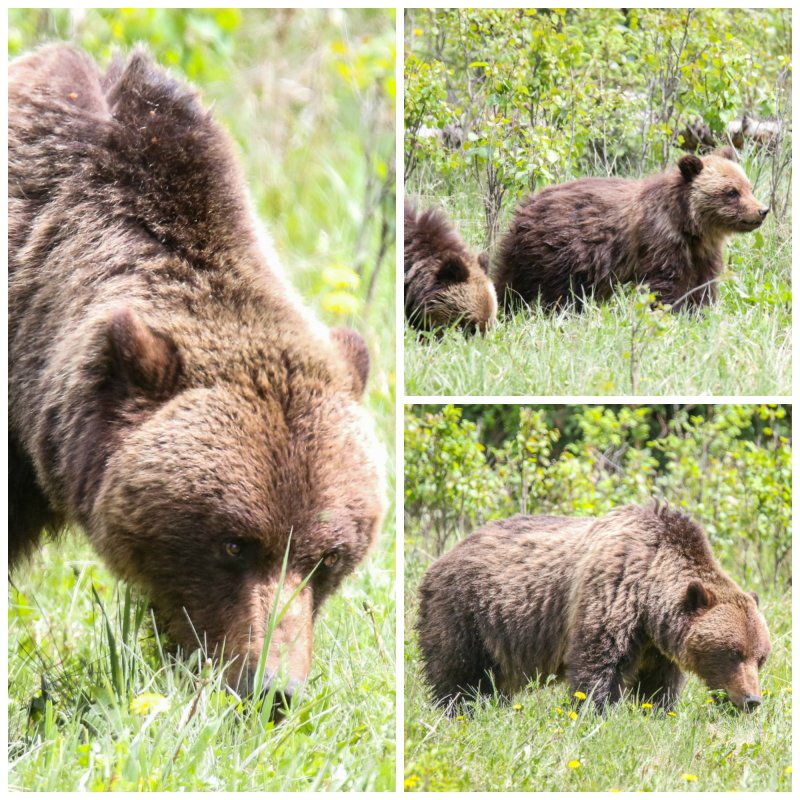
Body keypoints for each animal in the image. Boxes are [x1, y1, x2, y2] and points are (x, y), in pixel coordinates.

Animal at [416, 504, 772, 716]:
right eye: (734, 652)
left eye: (761, 657)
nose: (752, 700)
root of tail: (445, 556)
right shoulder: (612, 591)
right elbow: (598, 664)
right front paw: (598, 713)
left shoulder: (657, 645)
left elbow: (658, 684)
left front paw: (656, 711)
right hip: (465, 612)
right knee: (457, 672)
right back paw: (457, 710)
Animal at [494, 148, 768, 310]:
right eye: (731, 192)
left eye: (748, 187)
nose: (762, 210)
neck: (690, 227)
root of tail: (524, 209)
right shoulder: (660, 240)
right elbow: (665, 284)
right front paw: (672, 311)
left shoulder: (702, 252)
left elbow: (704, 284)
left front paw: (702, 310)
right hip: (562, 251)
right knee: (560, 293)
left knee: (511, 283)